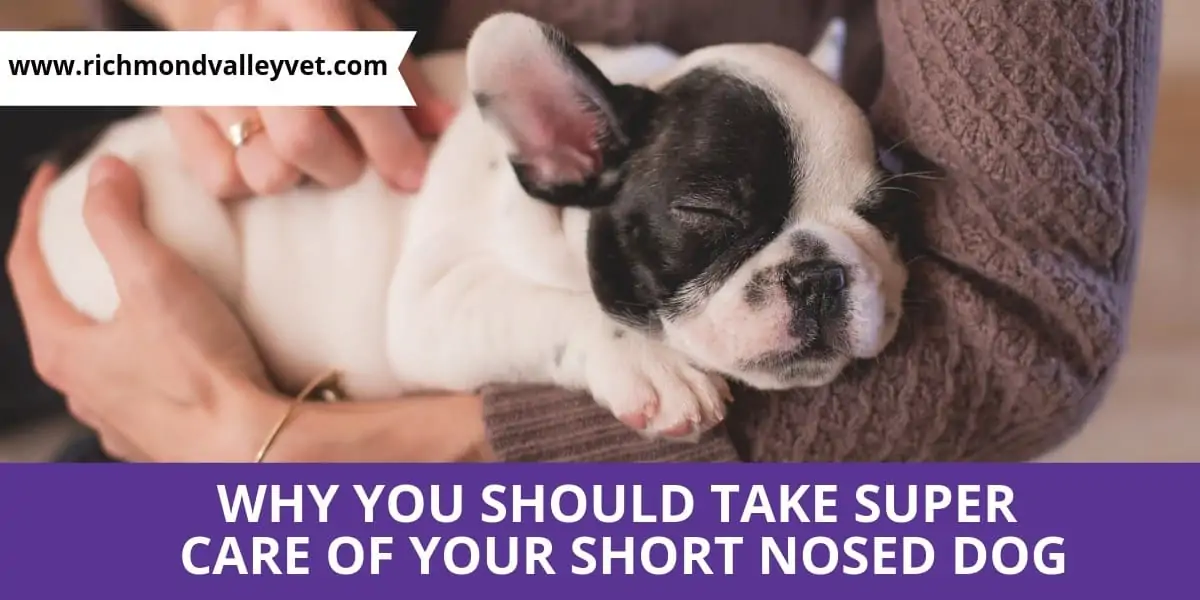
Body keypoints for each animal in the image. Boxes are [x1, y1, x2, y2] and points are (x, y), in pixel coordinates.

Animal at [37, 12, 907, 436]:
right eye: (707, 212)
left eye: (884, 214)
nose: (821, 274)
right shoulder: (436, 304)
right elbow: (557, 308)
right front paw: (652, 365)